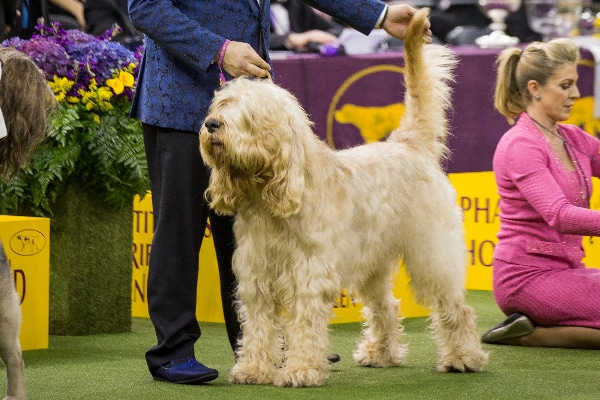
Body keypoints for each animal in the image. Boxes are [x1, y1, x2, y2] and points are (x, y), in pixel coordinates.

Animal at [200, 7, 488, 386]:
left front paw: (301, 369)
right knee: (385, 307)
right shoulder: (257, 276)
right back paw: (381, 353)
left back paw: (462, 357)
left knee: (457, 307)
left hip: (432, 254)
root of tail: (408, 144)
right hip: (373, 263)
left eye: (247, 112)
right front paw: (253, 369)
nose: (212, 125)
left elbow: (304, 325)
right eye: (221, 103)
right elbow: (259, 327)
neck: (271, 194)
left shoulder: (307, 275)